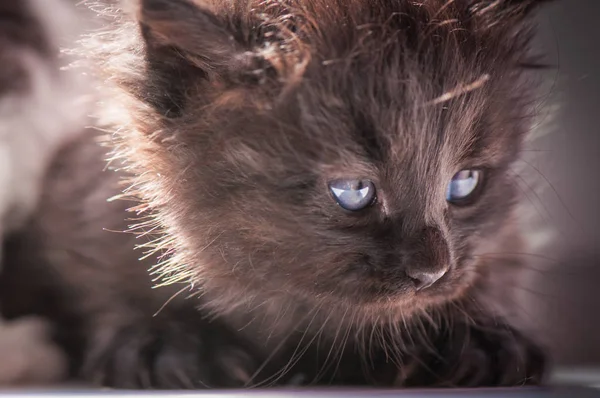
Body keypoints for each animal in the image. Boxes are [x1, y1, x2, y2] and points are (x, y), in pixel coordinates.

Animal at [2, 0, 556, 388]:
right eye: (353, 190)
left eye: (465, 183)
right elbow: (101, 278)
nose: (432, 271)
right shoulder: (76, 205)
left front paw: (478, 339)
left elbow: (498, 267)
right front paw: (165, 343)